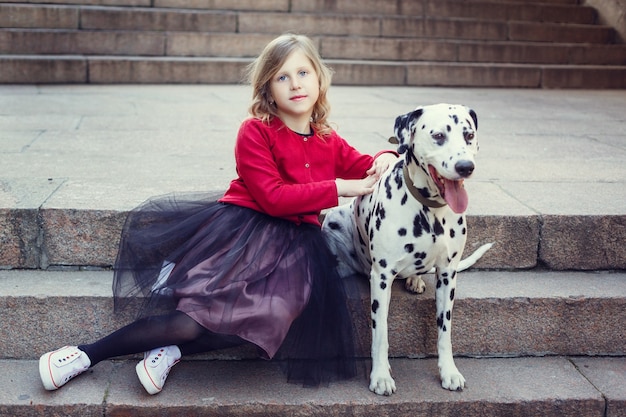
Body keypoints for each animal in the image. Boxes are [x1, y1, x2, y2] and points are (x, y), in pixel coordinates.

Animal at [324, 102, 490, 394]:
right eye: (438, 136)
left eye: (469, 135)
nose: (465, 167)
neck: (431, 212)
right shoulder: (381, 277)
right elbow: (380, 332)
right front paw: (380, 376)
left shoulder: (448, 275)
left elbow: (445, 331)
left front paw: (449, 372)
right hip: (334, 219)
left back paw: (415, 280)